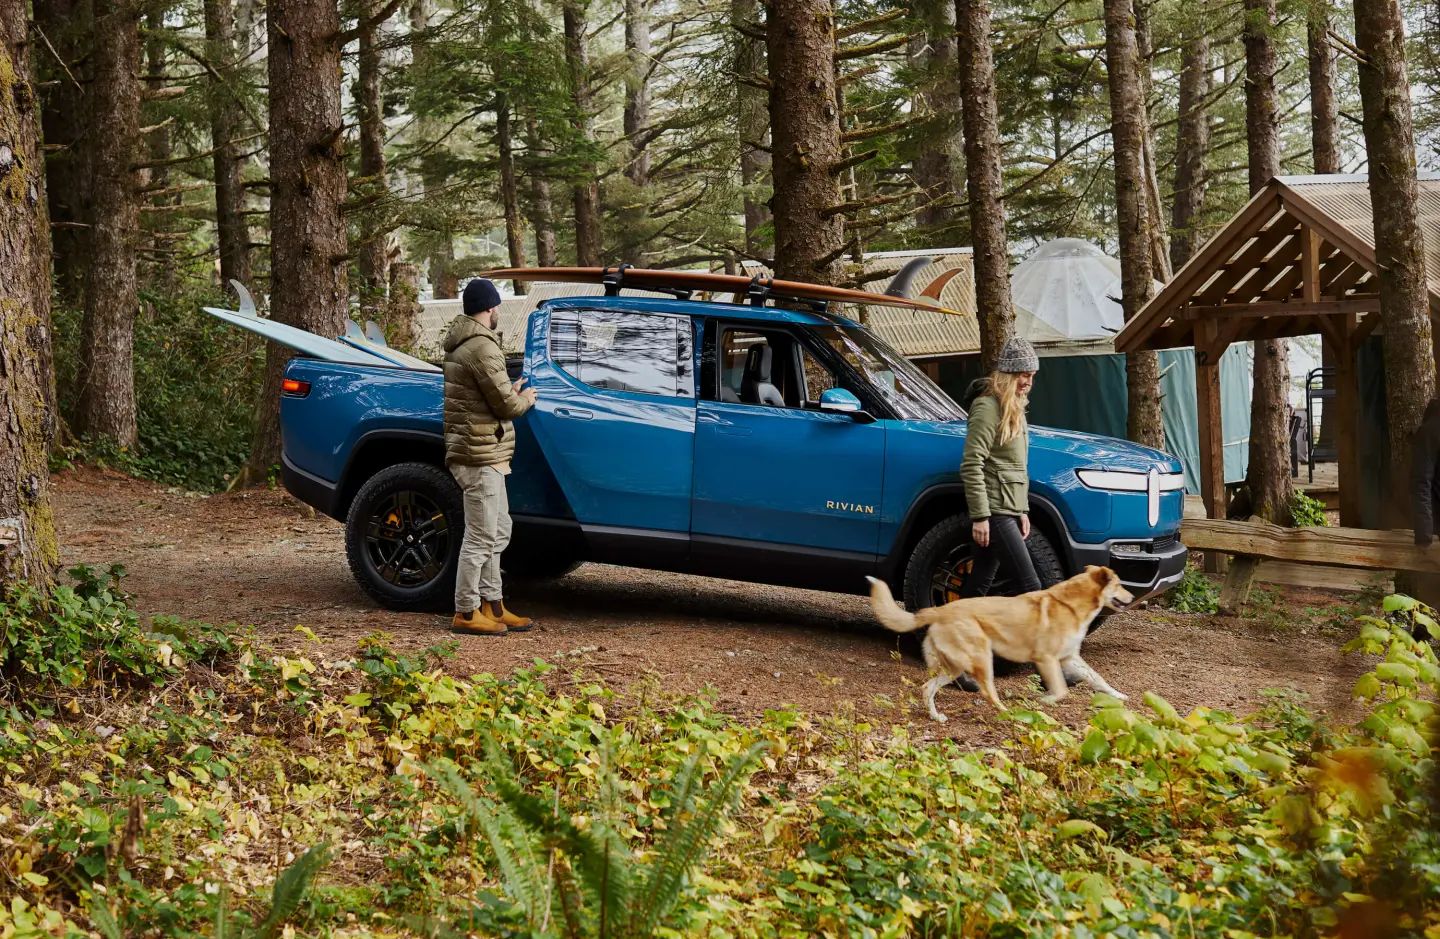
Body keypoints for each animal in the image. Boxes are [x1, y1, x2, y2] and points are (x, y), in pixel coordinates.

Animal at [864, 564, 1134, 720]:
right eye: (1119, 584)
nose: (1132, 598)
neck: (1070, 604)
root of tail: (939, 611)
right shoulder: (1047, 659)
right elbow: (1060, 691)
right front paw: (1045, 701)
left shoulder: (1070, 658)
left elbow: (1098, 678)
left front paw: (1119, 695)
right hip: (983, 657)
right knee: (988, 692)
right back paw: (1007, 713)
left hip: (954, 667)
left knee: (927, 688)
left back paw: (936, 717)